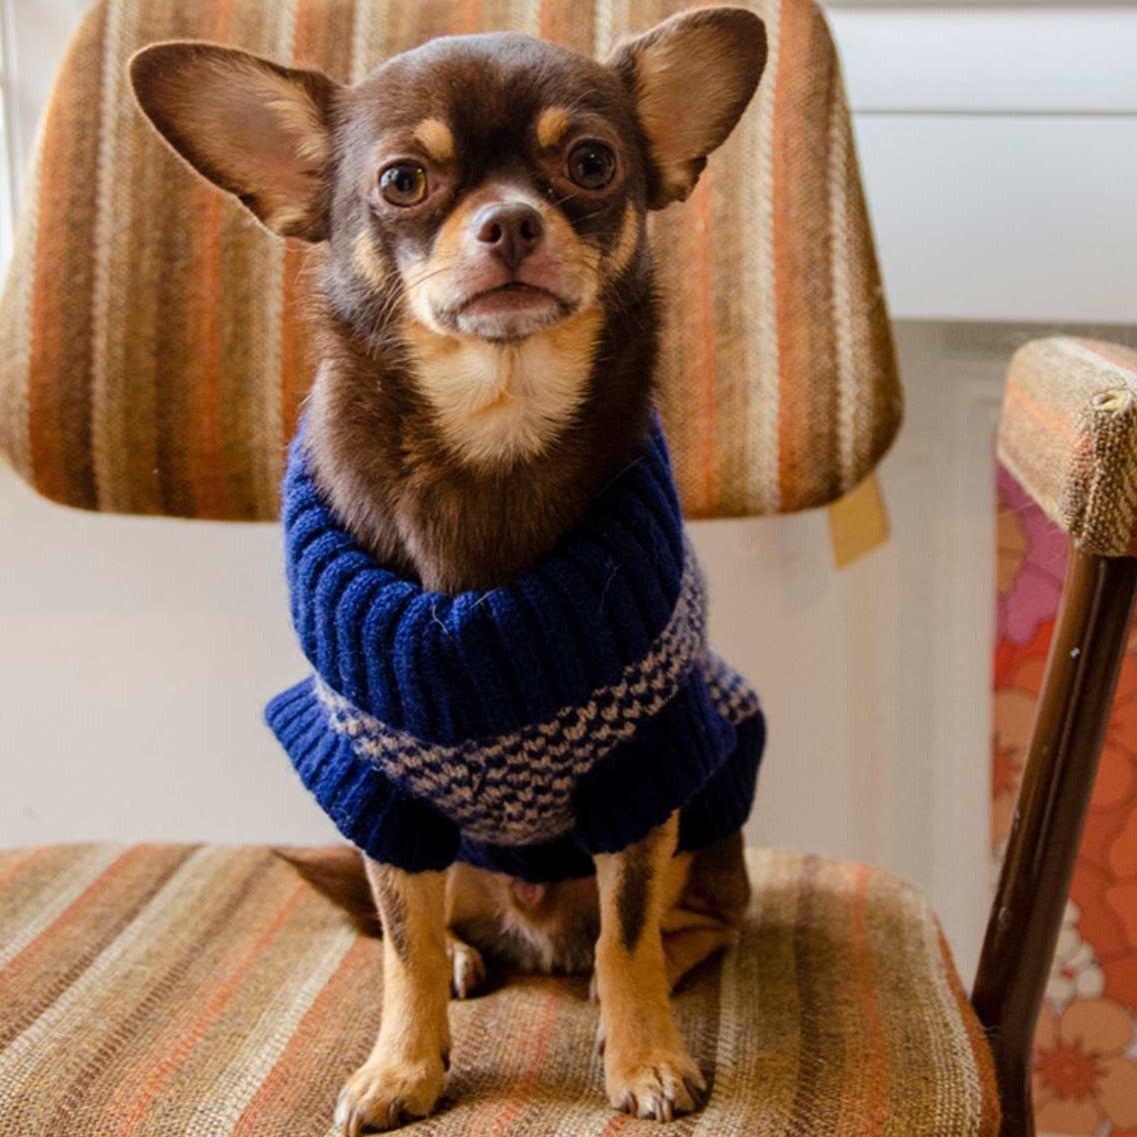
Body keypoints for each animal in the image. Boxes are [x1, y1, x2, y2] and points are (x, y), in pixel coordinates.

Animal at [129, 13, 768, 1132]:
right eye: (402, 181)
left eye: (591, 163)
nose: (509, 222)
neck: (492, 424)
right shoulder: (384, 792)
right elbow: (401, 946)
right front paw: (402, 1065)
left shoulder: (643, 770)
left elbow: (629, 929)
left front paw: (645, 1054)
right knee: (434, 924)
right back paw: (473, 955)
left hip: (708, 818)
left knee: (690, 919)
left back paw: (610, 975)